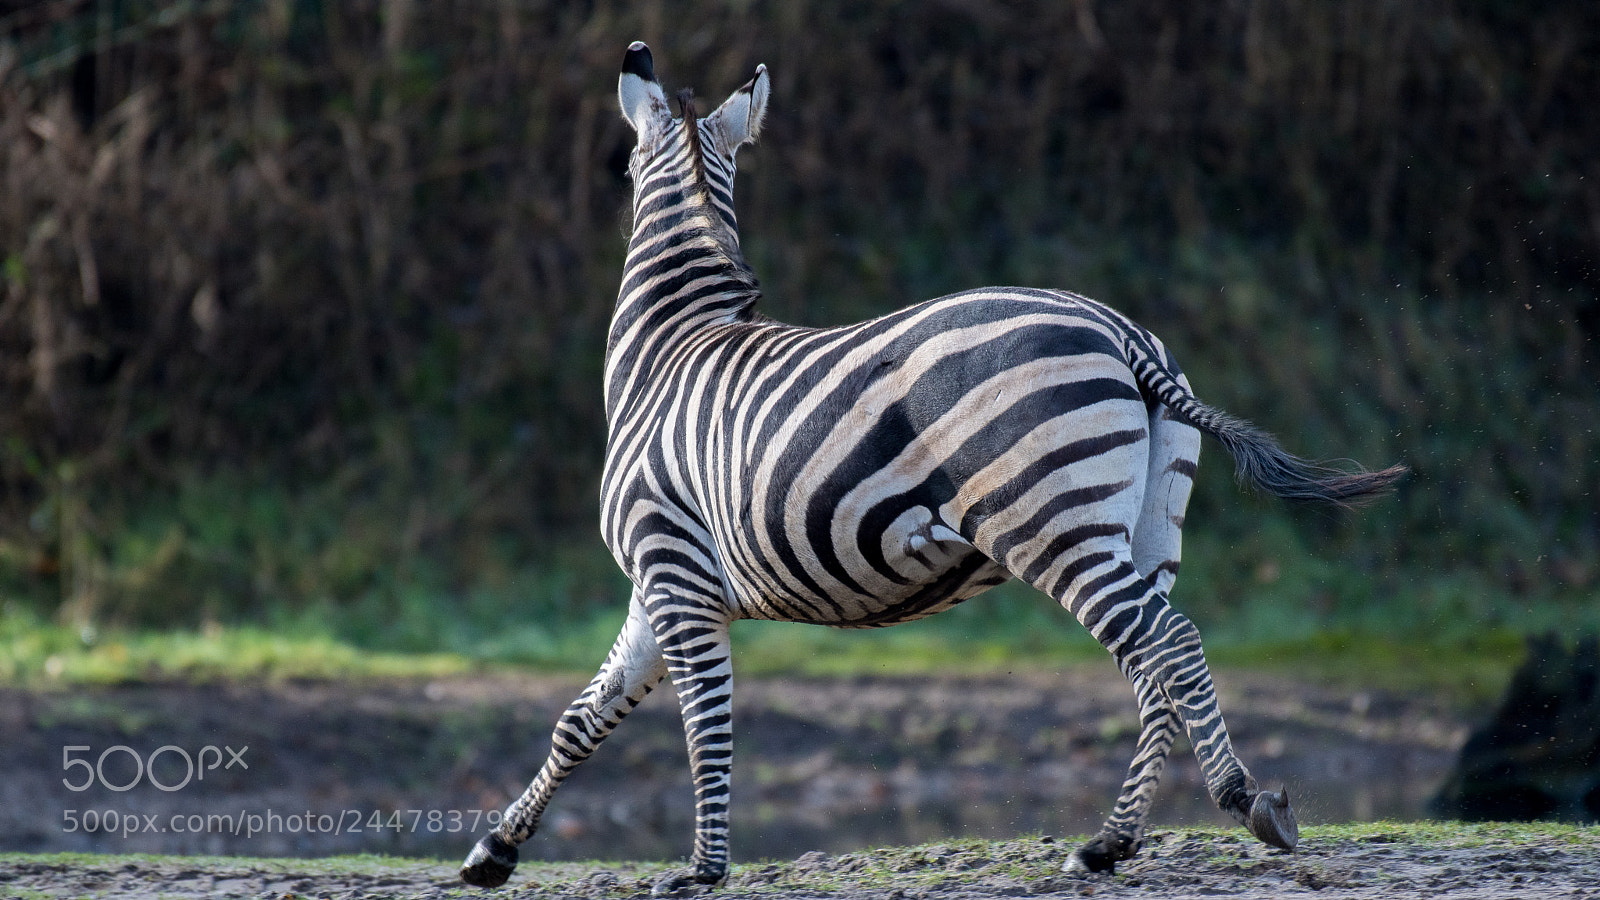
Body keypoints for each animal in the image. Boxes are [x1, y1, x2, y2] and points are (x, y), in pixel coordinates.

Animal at [461, 42, 1405, 893]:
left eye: (623, 163)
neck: (667, 350)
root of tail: (1124, 335)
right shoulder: (657, 589)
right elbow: (580, 719)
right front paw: (495, 851)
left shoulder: (672, 569)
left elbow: (706, 720)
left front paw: (702, 868)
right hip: (1143, 524)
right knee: (1155, 665)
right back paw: (1109, 845)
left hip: (1047, 522)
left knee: (1167, 645)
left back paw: (1245, 802)